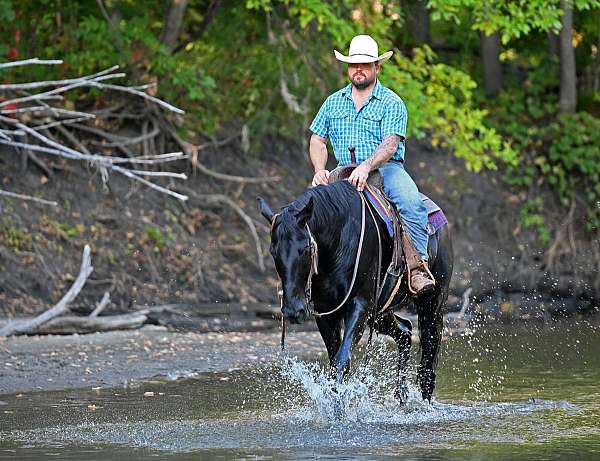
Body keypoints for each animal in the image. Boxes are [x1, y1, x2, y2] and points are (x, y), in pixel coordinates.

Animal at [255, 178, 452, 400]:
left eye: (305, 248)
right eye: (273, 251)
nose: (292, 311)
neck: (338, 240)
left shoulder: (359, 306)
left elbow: (342, 361)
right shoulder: (326, 313)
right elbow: (334, 361)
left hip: (431, 305)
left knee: (428, 362)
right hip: (380, 312)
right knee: (405, 331)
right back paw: (401, 395)